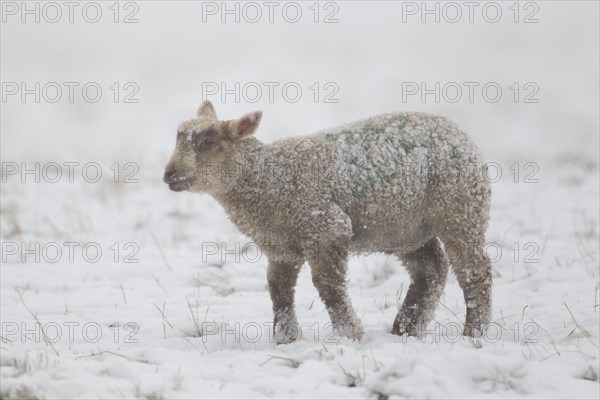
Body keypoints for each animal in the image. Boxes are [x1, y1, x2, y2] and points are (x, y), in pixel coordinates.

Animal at [164, 101, 492, 344]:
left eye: (209, 141)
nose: (169, 174)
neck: (268, 178)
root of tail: (460, 133)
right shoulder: (280, 245)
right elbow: (278, 288)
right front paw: (286, 338)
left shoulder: (324, 226)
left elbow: (327, 285)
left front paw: (350, 335)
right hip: (409, 227)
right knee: (431, 270)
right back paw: (406, 328)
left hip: (460, 206)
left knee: (475, 271)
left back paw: (474, 333)